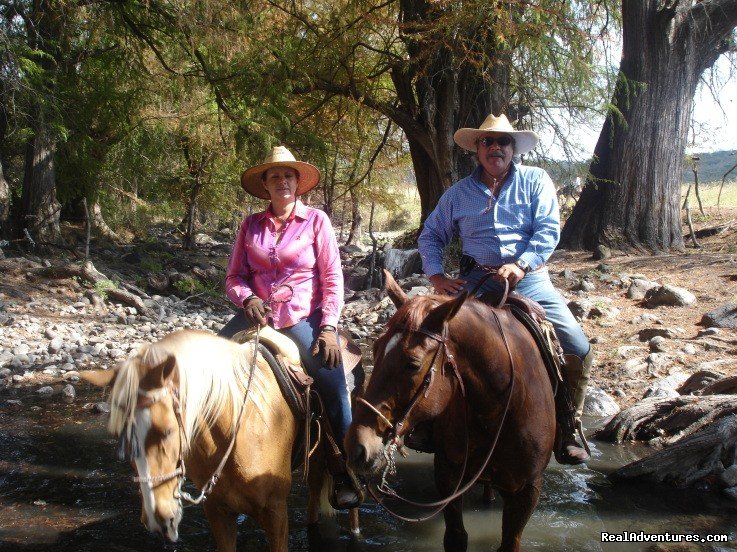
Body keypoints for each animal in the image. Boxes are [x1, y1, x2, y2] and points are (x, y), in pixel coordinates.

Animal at [344, 272, 552, 552]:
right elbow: (455, 537)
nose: (357, 447)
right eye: (375, 349)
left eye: (413, 364)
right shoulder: (448, 475)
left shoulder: (527, 492)